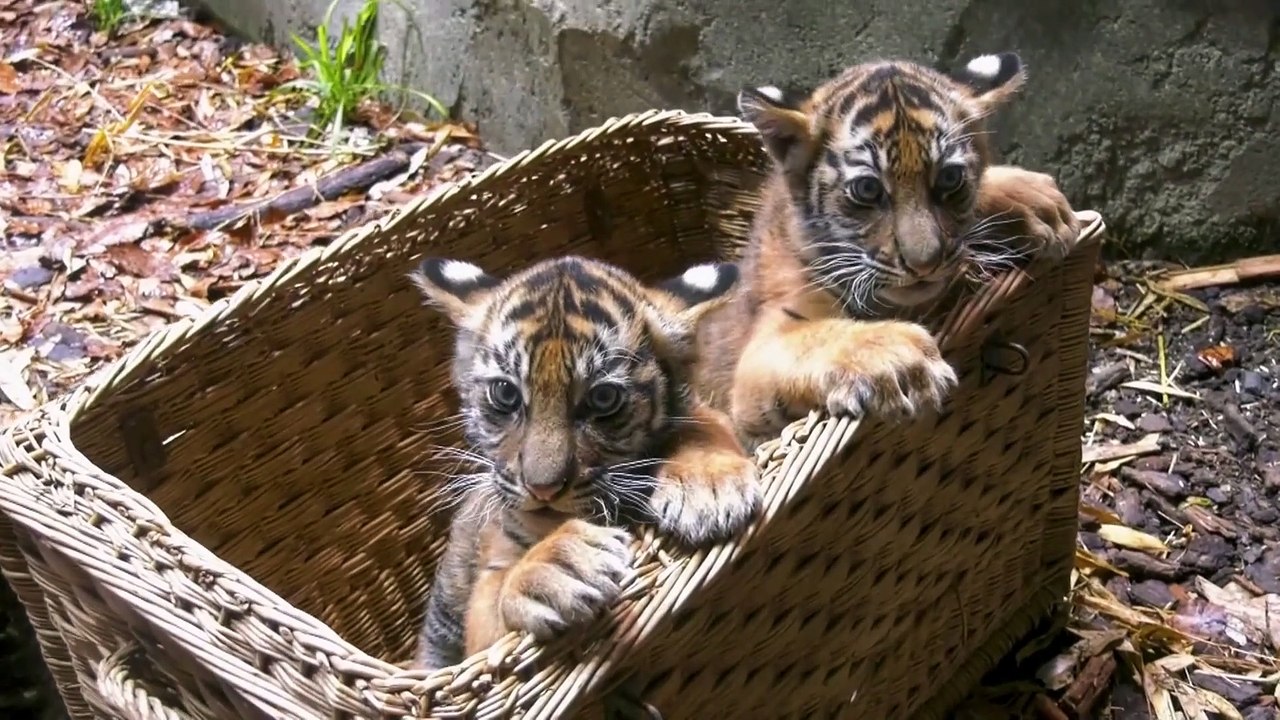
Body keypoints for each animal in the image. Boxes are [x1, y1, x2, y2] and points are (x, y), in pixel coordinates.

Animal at [408, 255, 761, 671]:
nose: (542, 488)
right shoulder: (483, 628)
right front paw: (558, 565)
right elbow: (496, 599)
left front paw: (707, 487)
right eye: (506, 393)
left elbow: (704, 424)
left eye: (603, 397)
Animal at [693, 51, 1082, 446]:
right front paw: (901, 361)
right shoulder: (762, 353)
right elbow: (820, 337)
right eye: (868, 189)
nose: (924, 264)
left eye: (949, 178)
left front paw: (1035, 202)